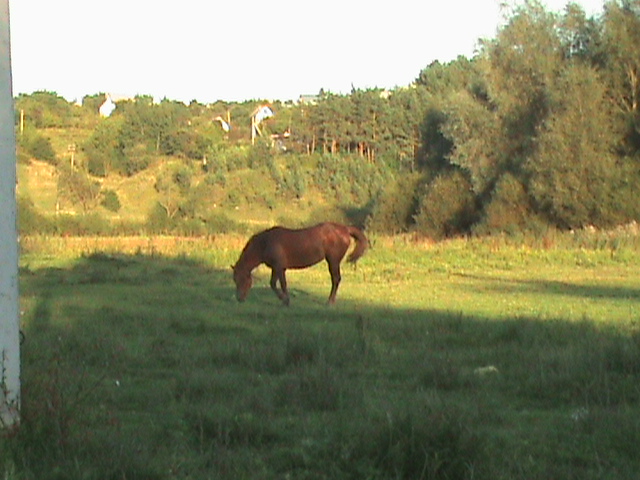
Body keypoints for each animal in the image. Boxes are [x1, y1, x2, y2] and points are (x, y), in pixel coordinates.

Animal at [232, 223, 368, 306]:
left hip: (333, 261)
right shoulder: (276, 268)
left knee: (336, 279)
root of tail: (345, 228)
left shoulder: (279, 267)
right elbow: (273, 284)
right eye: (235, 280)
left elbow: (282, 284)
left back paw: (330, 302)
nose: (239, 298)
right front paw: (283, 299)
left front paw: (286, 300)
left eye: (242, 279)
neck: (265, 243)